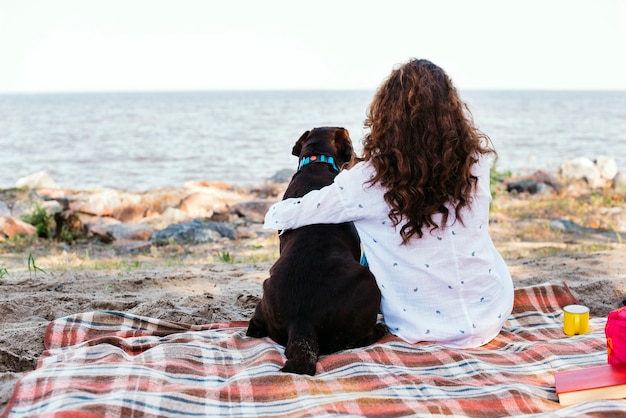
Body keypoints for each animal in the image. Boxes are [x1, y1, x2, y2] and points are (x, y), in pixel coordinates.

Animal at [245, 126, 382, 376]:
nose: (359, 158)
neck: (316, 162)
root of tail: (302, 323)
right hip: (369, 283)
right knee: (360, 338)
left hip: (265, 291)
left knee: (254, 326)